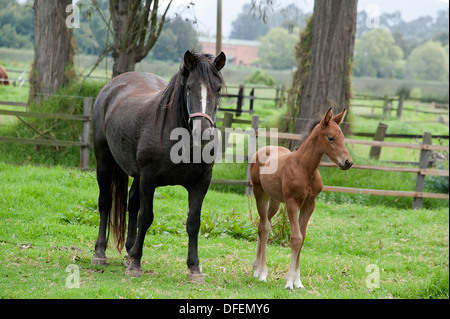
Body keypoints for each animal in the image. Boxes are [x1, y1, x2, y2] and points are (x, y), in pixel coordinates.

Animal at [91, 50, 225, 282]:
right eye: (189, 87)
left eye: (217, 89)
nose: (203, 133)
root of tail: (112, 87)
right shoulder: (149, 179)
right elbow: (146, 217)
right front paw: (136, 264)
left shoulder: (201, 183)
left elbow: (193, 222)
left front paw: (195, 268)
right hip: (104, 162)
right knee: (106, 202)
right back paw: (100, 253)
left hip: (136, 175)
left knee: (132, 203)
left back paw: (129, 251)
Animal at [250, 108, 352, 290]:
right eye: (331, 138)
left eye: (342, 137)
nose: (348, 162)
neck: (304, 168)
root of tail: (262, 149)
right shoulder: (292, 203)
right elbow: (296, 238)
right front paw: (289, 282)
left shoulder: (310, 204)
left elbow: (302, 238)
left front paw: (298, 281)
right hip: (259, 193)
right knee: (264, 227)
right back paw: (262, 273)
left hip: (274, 201)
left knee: (264, 224)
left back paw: (256, 268)